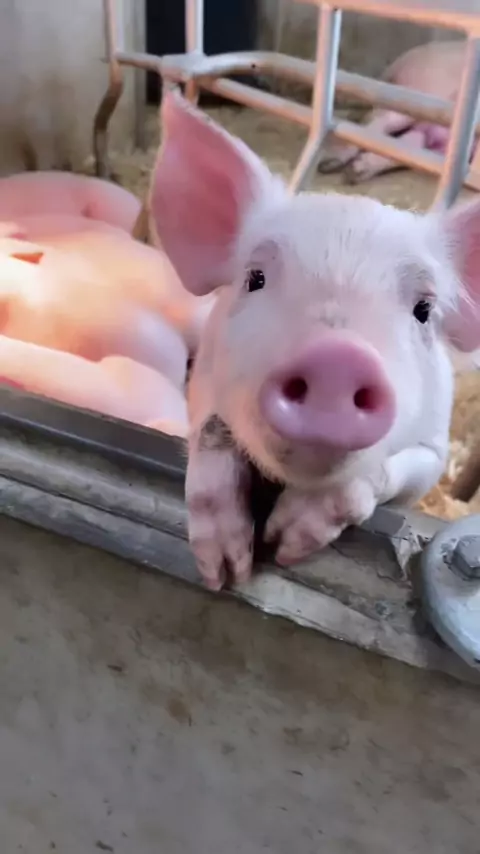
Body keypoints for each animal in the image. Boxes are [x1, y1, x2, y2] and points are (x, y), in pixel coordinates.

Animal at [149, 90, 480, 591]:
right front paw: (225, 571)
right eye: (255, 277)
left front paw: (285, 545)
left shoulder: (433, 453)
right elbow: (211, 432)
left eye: (424, 310)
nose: (337, 357)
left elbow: (384, 474)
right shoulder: (200, 390)